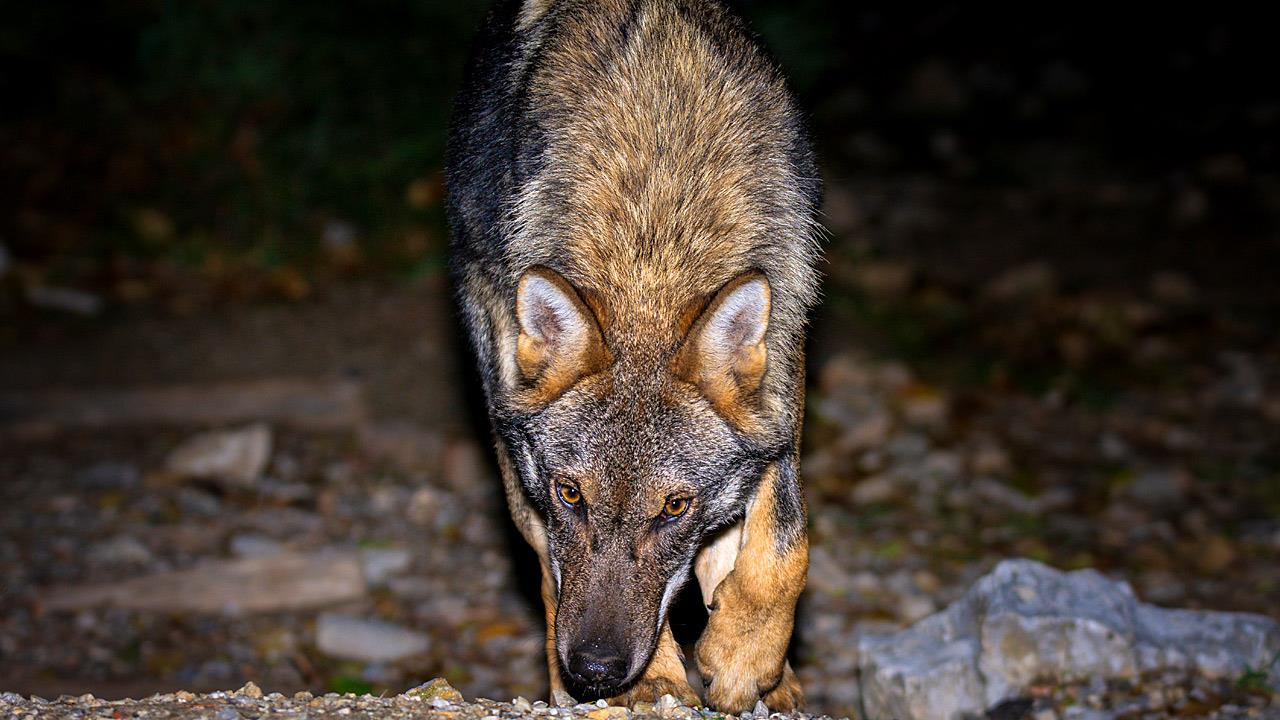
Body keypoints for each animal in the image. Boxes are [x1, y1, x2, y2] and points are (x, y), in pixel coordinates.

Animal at [445, 0, 824, 707]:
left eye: (674, 507)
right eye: (570, 493)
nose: (594, 669)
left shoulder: (780, 385)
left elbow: (784, 547)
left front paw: (744, 658)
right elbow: (559, 575)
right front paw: (653, 681)